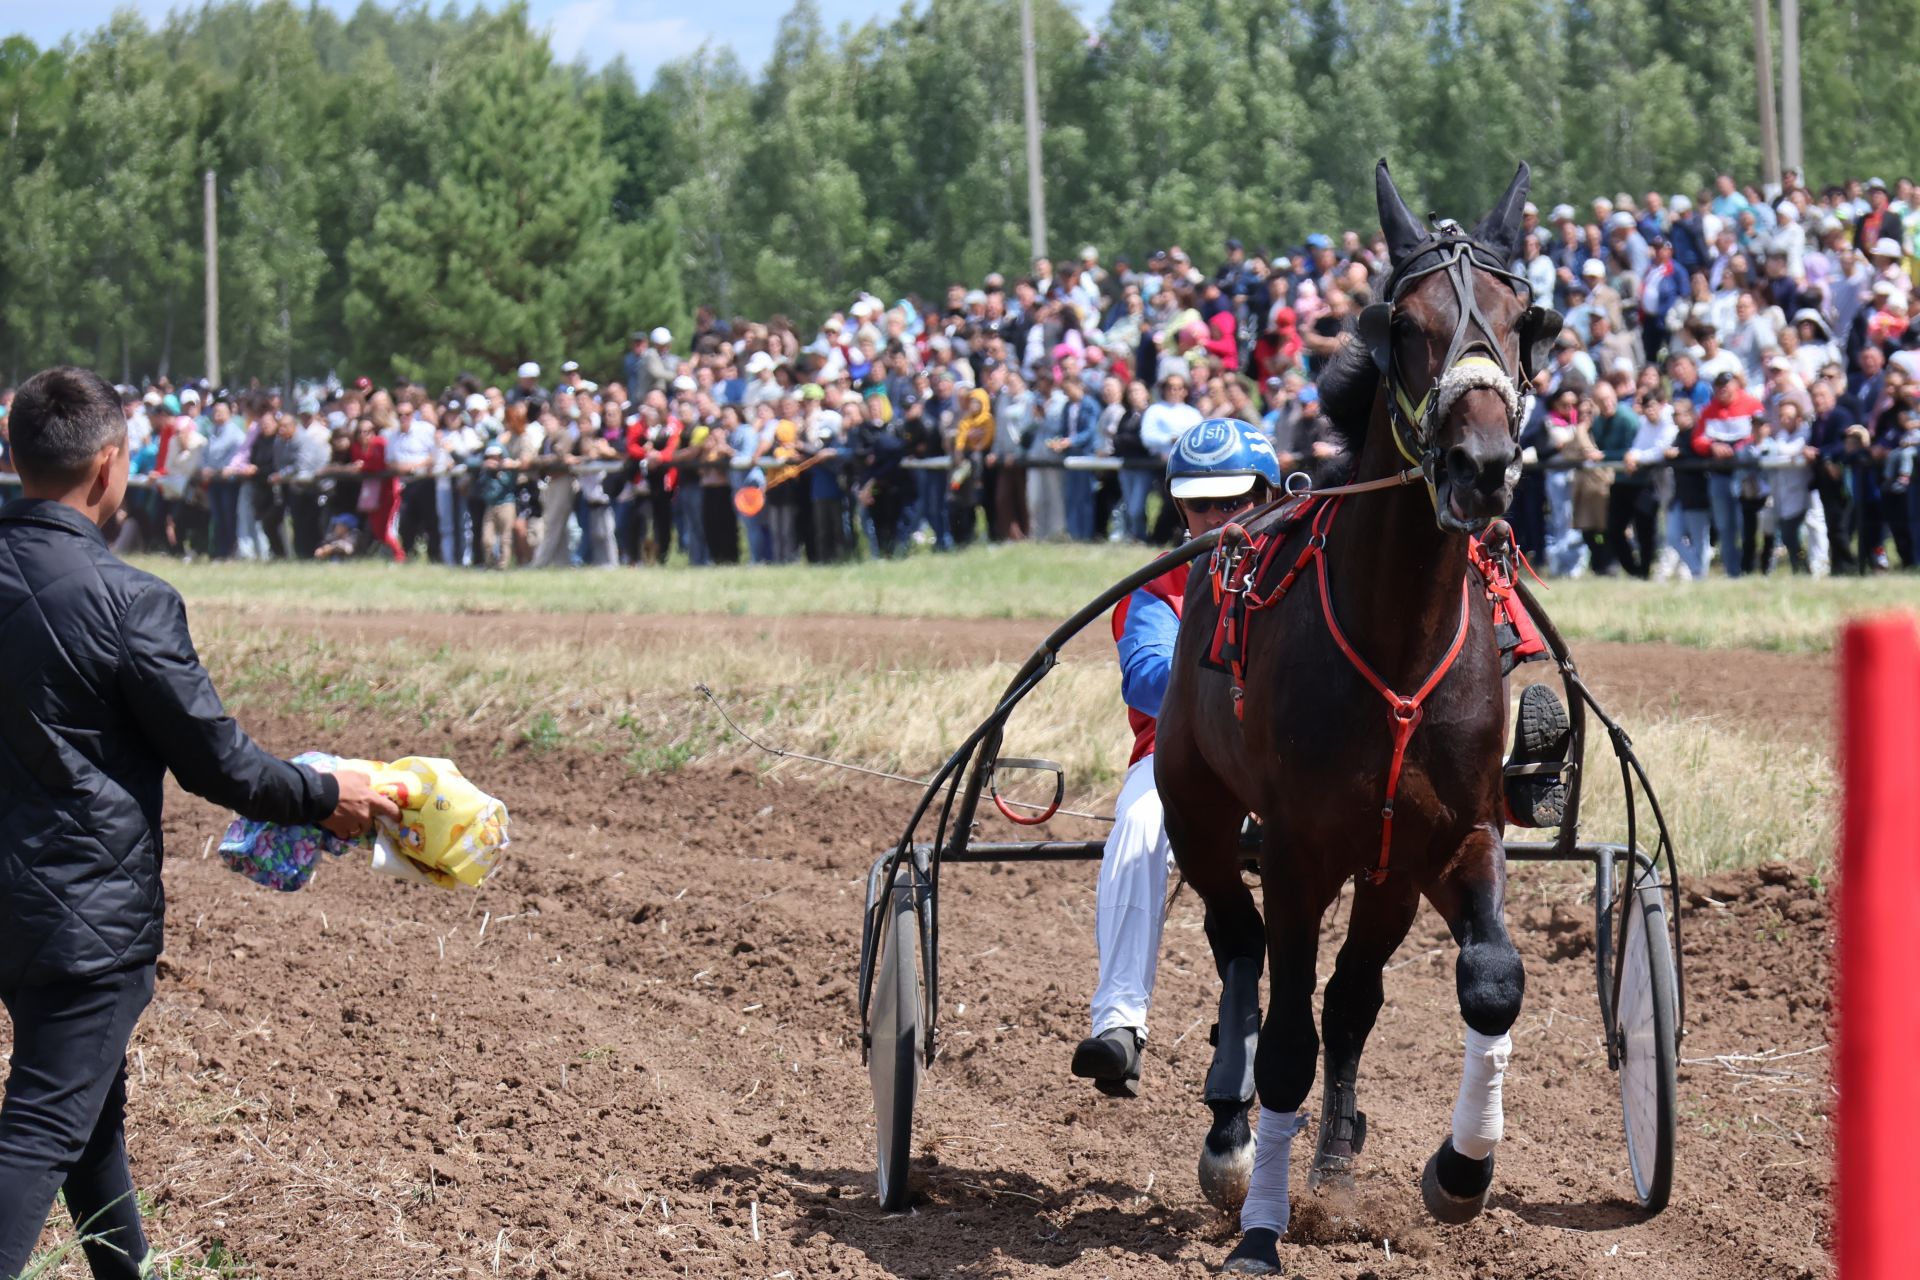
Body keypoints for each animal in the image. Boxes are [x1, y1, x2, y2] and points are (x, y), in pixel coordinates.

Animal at [1152, 160, 1559, 1274]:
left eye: (1527, 319)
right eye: (1404, 324)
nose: (1482, 465)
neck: (1399, 639)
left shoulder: (1451, 835)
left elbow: (1492, 980)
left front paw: (1460, 1171)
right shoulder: (1297, 849)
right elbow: (1285, 1037)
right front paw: (1260, 1231)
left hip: (1384, 876)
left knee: (1350, 997)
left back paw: (1331, 1164)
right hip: (1198, 810)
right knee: (1240, 944)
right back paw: (1233, 1142)